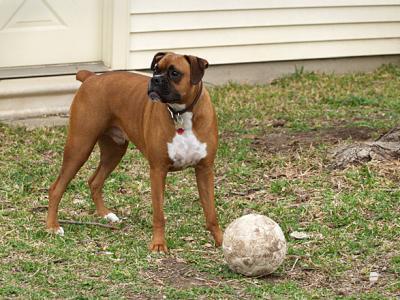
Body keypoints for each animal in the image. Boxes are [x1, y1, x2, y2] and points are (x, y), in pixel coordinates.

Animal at [46, 52, 223, 252]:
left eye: (175, 73)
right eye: (156, 69)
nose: (155, 79)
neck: (182, 113)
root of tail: (91, 77)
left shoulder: (204, 170)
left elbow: (211, 213)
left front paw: (221, 241)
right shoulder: (158, 171)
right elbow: (159, 215)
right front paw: (159, 244)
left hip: (114, 151)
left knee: (94, 182)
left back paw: (105, 214)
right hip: (79, 146)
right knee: (56, 188)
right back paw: (52, 226)